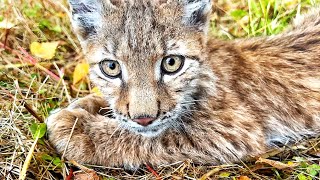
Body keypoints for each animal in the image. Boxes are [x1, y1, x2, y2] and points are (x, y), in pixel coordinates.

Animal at [46, 0, 320, 169]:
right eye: (111, 68)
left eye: (172, 63)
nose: (144, 118)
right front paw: (86, 104)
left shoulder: (235, 129)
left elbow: (162, 136)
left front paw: (77, 129)